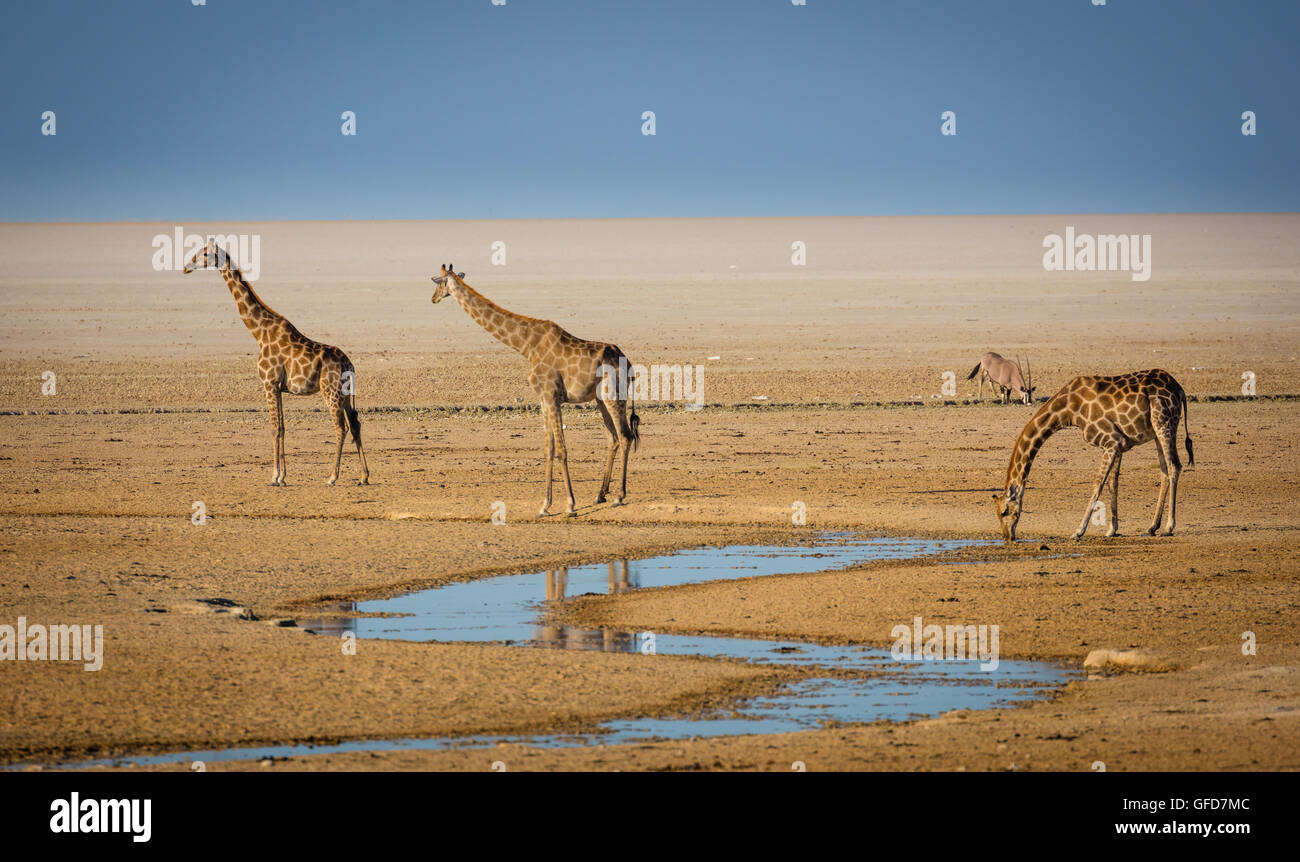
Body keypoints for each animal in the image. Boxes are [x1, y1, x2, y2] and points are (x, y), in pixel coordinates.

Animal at [183, 239, 369, 487]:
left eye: (204, 253)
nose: (186, 267)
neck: (259, 332)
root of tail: (350, 366)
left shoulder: (268, 384)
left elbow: (273, 428)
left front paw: (274, 476)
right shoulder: (279, 388)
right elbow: (282, 427)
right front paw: (282, 476)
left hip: (331, 392)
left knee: (341, 427)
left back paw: (331, 477)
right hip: (347, 394)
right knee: (356, 425)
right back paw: (364, 476)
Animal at [430, 264, 639, 516]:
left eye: (438, 282)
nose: (433, 298)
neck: (527, 346)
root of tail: (628, 363)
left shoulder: (551, 396)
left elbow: (561, 449)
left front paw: (570, 504)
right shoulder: (543, 399)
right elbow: (548, 449)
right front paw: (545, 505)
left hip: (614, 395)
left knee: (626, 436)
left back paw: (619, 495)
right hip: (601, 399)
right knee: (613, 437)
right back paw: (600, 495)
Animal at [992, 369, 1192, 541]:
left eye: (1004, 512)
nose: (1007, 536)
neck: (1068, 410)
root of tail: (1179, 389)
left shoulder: (1112, 441)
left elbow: (1098, 484)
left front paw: (1078, 531)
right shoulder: (1119, 444)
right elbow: (1113, 483)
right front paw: (1112, 530)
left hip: (1164, 422)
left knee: (1174, 466)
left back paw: (1168, 527)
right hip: (1157, 430)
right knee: (1164, 471)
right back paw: (1151, 527)